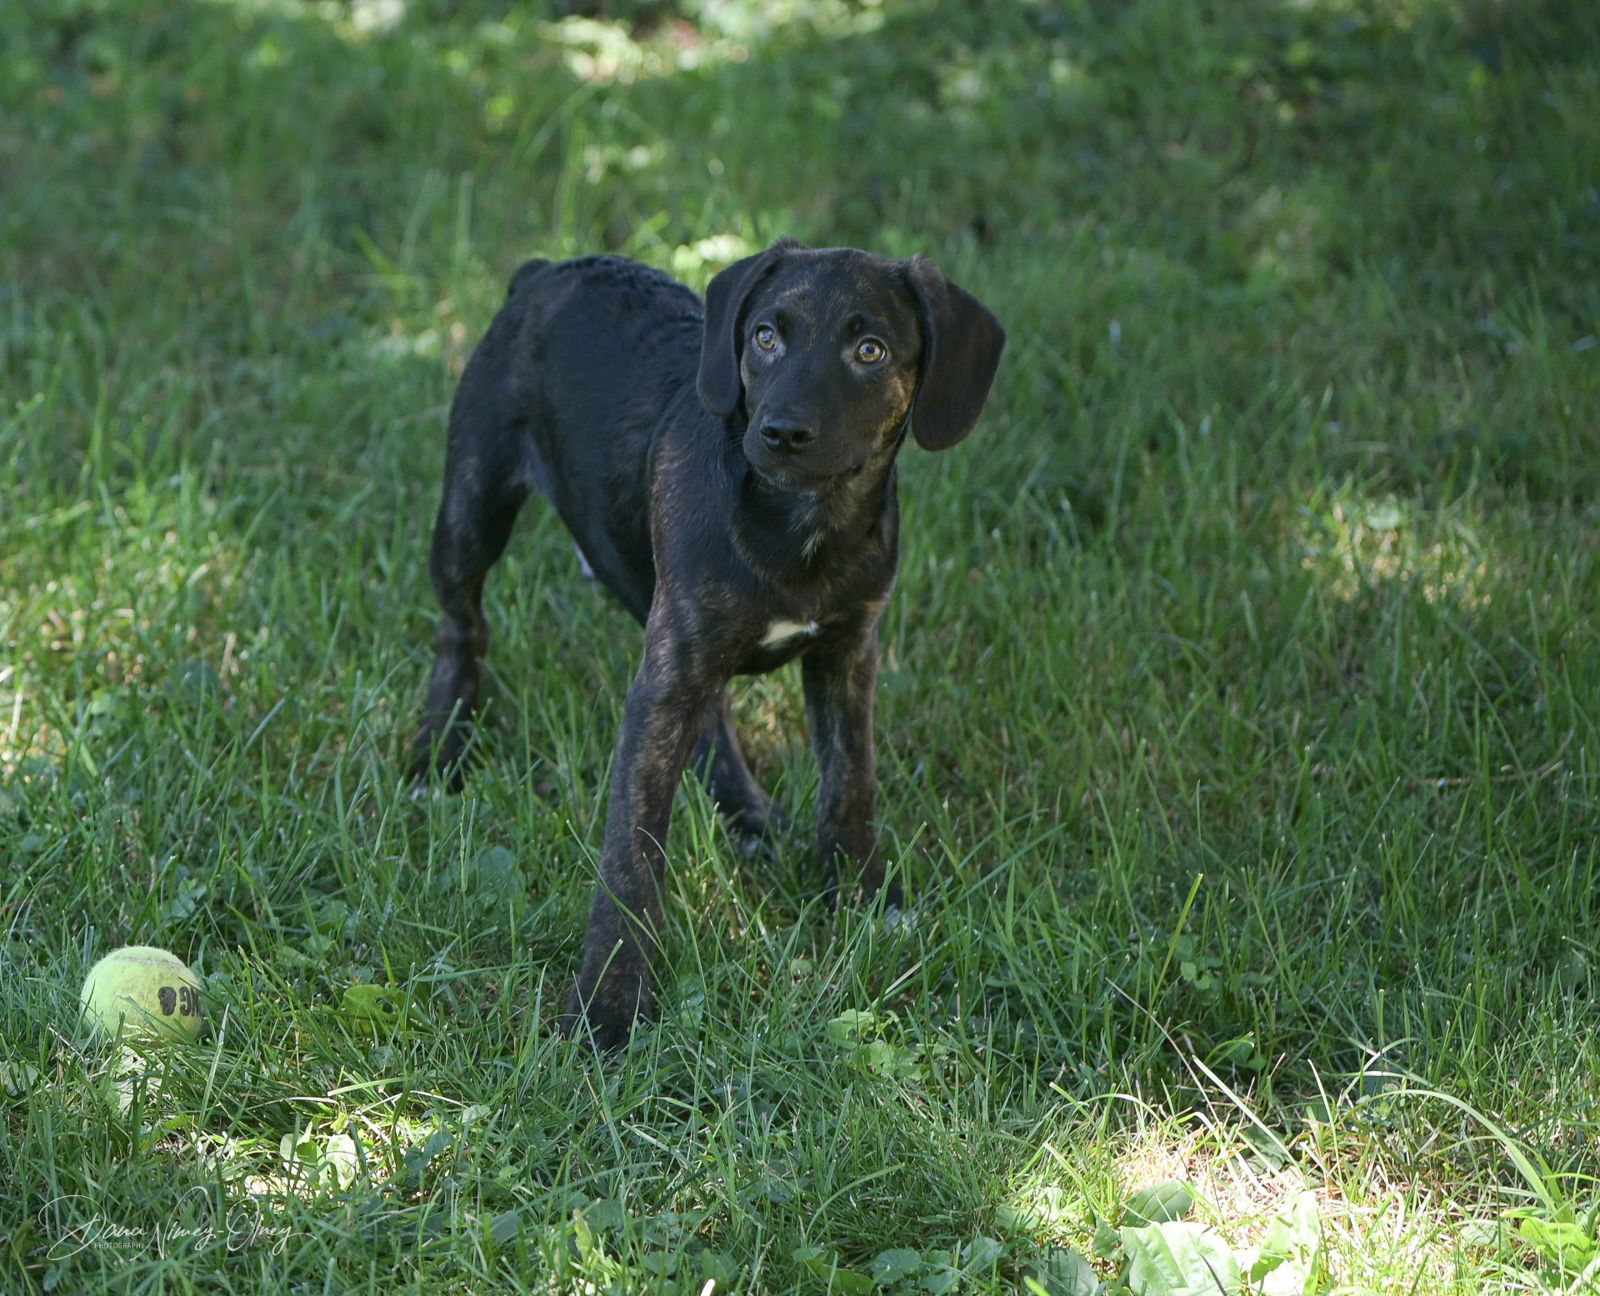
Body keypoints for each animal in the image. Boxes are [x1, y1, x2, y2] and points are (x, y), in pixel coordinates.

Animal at [419, 235, 1004, 1043]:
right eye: (764, 337)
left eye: (871, 351)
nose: (782, 432)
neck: (801, 525)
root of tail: (549, 271)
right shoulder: (665, 684)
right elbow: (631, 856)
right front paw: (608, 1006)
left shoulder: (848, 651)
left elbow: (849, 781)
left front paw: (862, 899)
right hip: (473, 503)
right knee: (462, 628)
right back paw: (438, 750)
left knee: (717, 718)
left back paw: (750, 815)